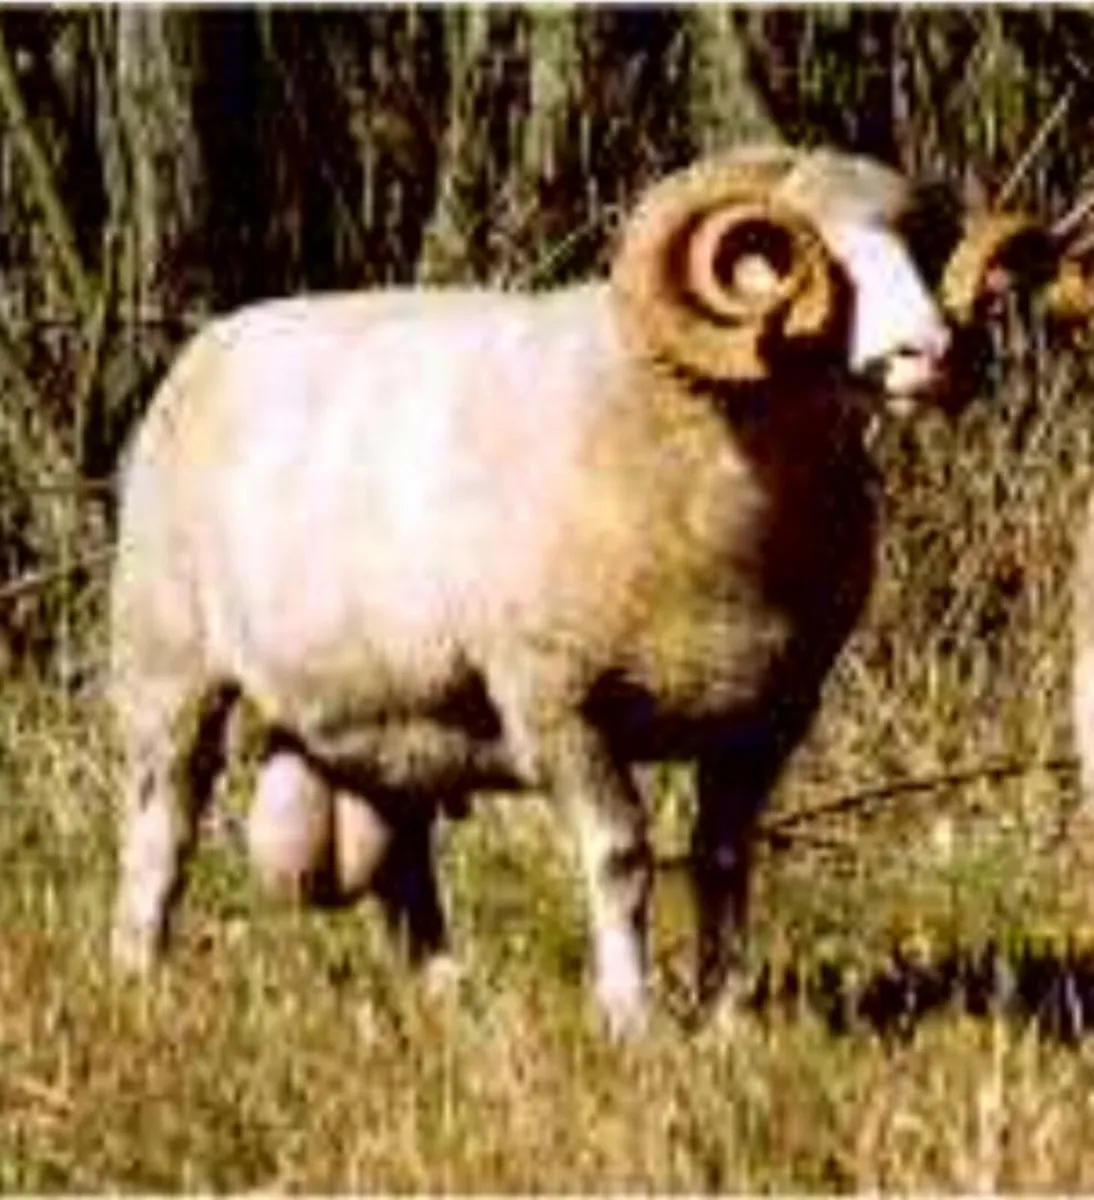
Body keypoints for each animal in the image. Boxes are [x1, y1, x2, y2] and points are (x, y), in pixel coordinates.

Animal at [108, 144, 1037, 1035]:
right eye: (784, 256)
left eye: (918, 251)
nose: (933, 354)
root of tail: (211, 341)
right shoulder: (558, 704)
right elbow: (621, 857)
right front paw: (631, 1019)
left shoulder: (768, 719)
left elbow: (724, 860)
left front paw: (728, 1020)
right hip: (170, 672)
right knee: (163, 836)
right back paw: (143, 984)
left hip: (393, 718)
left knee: (405, 866)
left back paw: (448, 996)